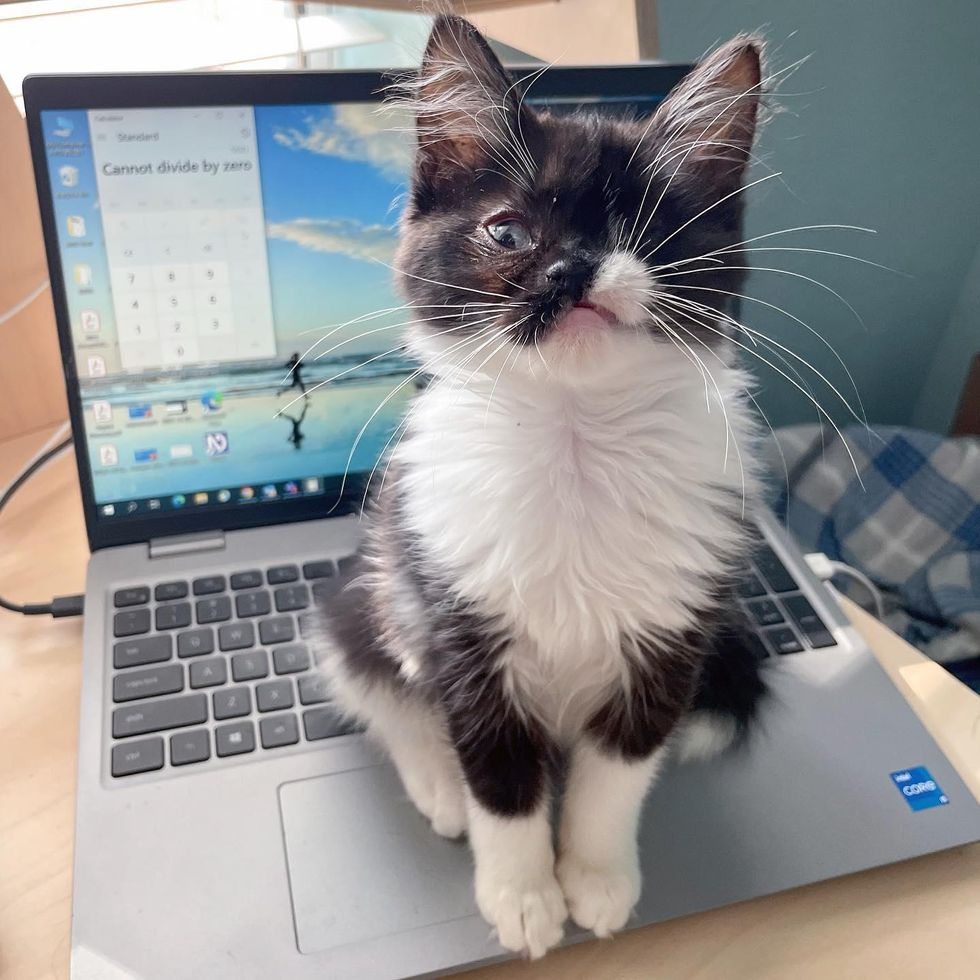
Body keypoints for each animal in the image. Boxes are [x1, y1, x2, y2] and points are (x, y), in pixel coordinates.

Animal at [318, 15, 768, 960]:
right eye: (508, 233)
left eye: (651, 232)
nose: (573, 271)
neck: (573, 437)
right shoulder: (451, 615)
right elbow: (498, 775)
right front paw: (521, 894)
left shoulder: (675, 631)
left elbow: (620, 768)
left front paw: (595, 876)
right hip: (368, 589)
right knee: (375, 684)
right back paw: (435, 778)